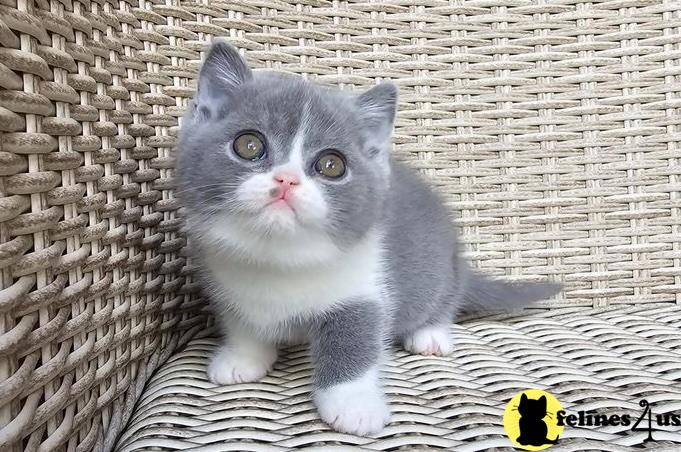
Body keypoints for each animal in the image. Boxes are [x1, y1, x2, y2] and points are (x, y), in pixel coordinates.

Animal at [178, 40, 560, 436]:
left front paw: (353, 404)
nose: (287, 180)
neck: (278, 256)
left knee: (442, 298)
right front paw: (243, 357)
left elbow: (355, 341)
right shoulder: (229, 287)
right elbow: (243, 324)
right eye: (249, 145)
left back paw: (431, 333)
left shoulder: (362, 288)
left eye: (331, 165)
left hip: (440, 269)